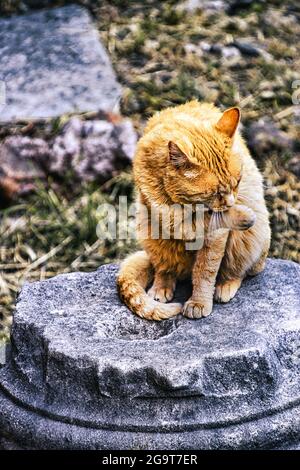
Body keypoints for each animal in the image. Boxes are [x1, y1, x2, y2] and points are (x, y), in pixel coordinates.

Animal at [116, 101, 270, 322]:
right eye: (215, 192)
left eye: (238, 182)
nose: (231, 203)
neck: (180, 206)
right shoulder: (158, 220)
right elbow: (165, 263)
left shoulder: (214, 236)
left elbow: (205, 270)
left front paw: (199, 302)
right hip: (147, 232)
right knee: (164, 266)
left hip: (249, 241)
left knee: (240, 270)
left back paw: (225, 285)